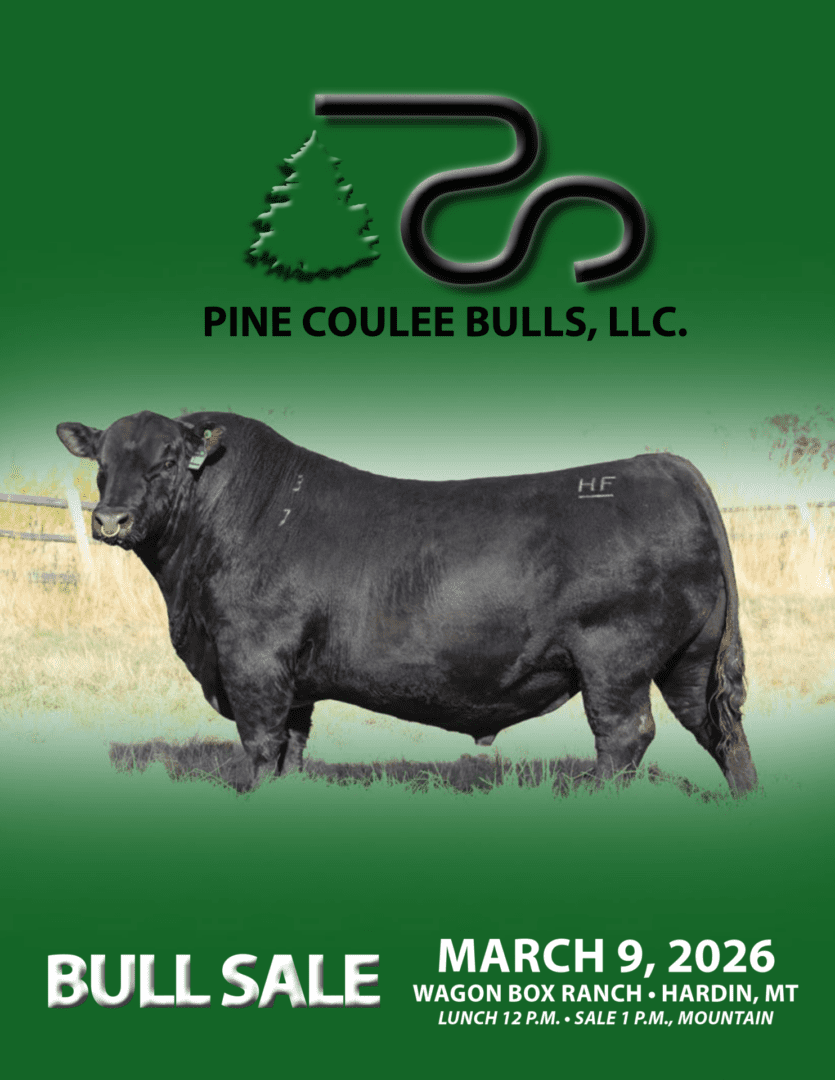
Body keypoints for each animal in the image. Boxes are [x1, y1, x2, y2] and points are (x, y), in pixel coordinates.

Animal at [57, 410, 758, 795]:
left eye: (168, 460)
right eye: (102, 461)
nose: (111, 520)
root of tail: (659, 464)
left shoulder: (252, 658)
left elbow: (259, 745)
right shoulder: (294, 679)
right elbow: (291, 749)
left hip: (615, 658)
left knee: (624, 736)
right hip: (689, 659)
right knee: (719, 729)